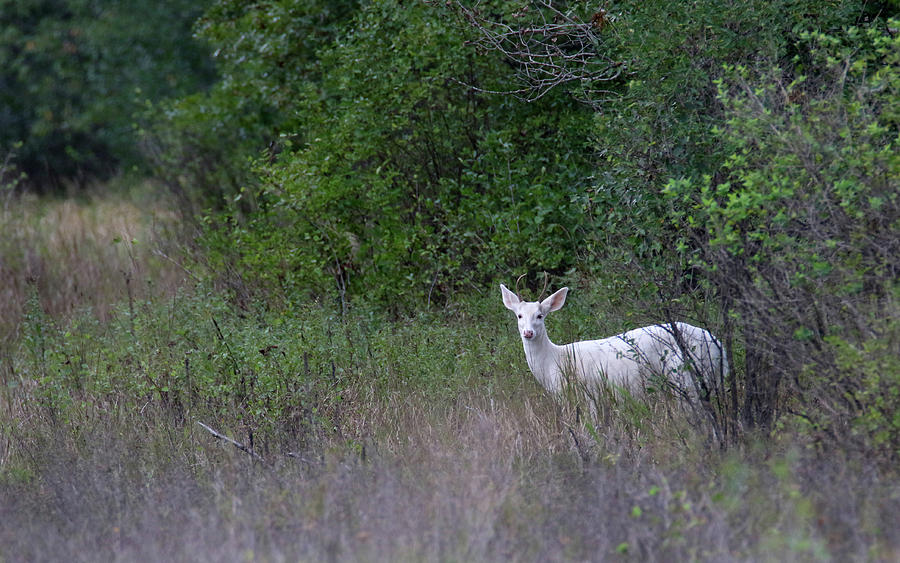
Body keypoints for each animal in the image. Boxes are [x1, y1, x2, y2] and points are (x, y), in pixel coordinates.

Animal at [502, 282, 728, 400]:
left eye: (540, 315)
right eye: (519, 315)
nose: (528, 333)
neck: (553, 362)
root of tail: (720, 348)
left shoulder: (589, 393)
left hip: (686, 376)